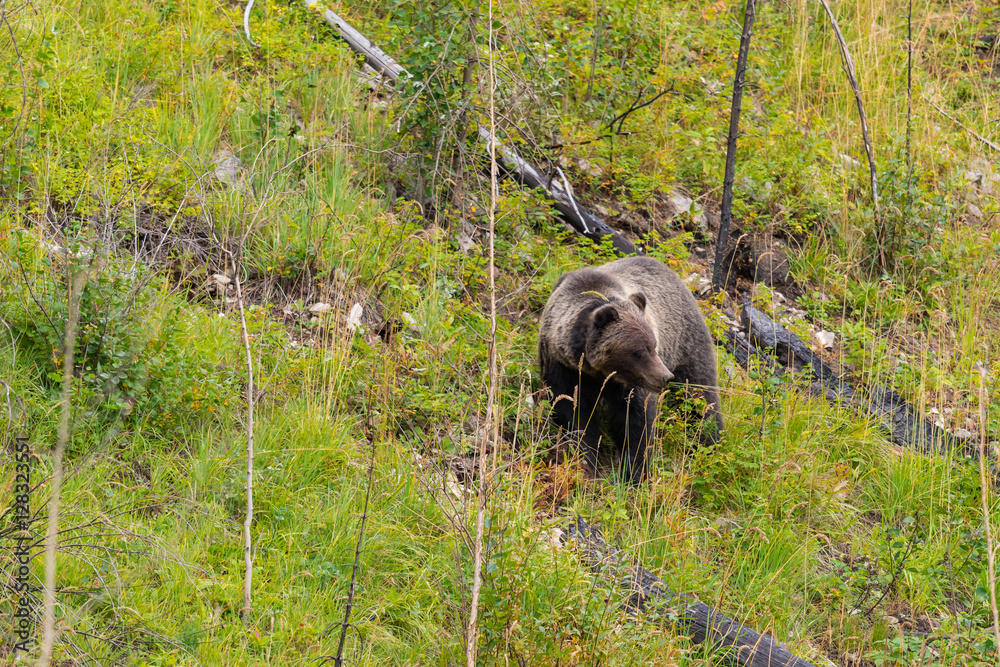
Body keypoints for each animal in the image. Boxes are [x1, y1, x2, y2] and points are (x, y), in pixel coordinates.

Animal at [538, 256, 723, 484]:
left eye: (653, 345)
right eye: (639, 350)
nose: (665, 376)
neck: (596, 370)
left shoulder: (630, 381)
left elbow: (635, 419)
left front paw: (633, 473)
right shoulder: (562, 364)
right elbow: (572, 410)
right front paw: (586, 458)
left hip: (687, 342)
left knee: (700, 395)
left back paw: (710, 442)